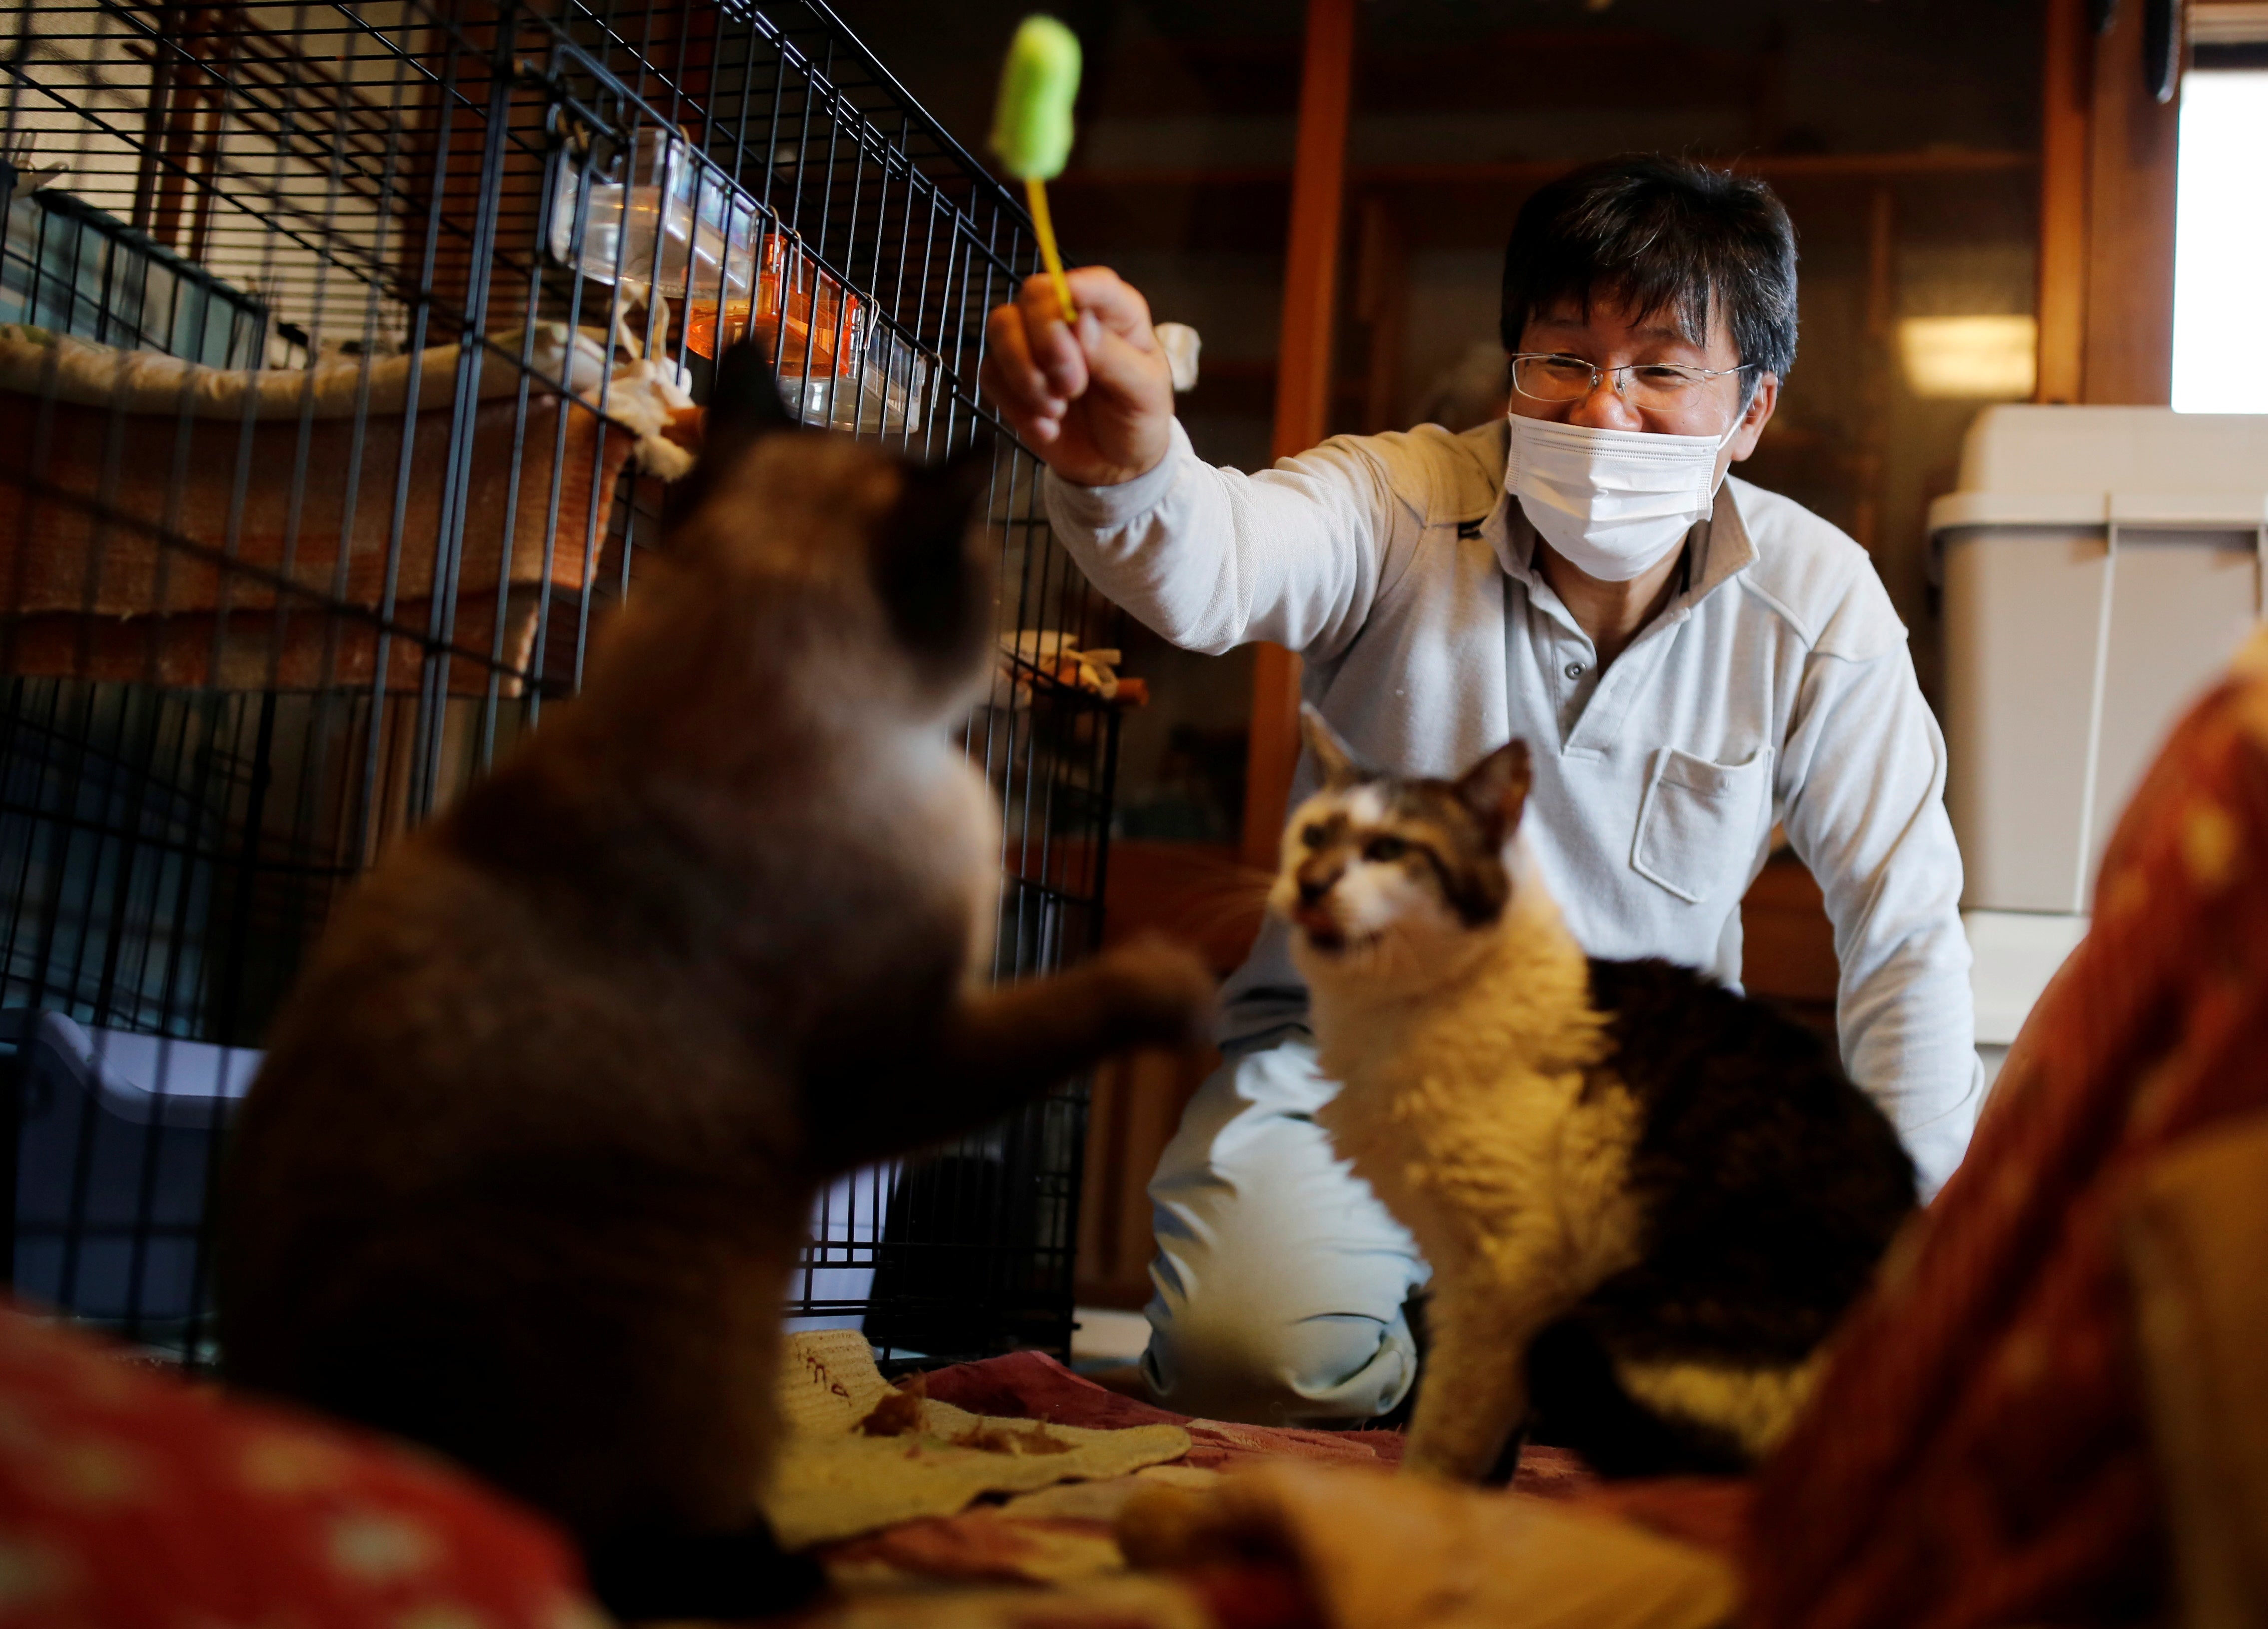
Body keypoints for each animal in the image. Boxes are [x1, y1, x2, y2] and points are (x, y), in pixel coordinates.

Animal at [219, 344, 1215, 1624]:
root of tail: (338, 1442)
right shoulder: (902, 1070)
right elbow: (1066, 1008)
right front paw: (1177, 984)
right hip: (705, 1342)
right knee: (644, 1559)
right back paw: (790, 1564)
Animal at [1279, 707, 1914, 1488]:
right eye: (1313, 836)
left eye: (1389, 849)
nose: (1309, 882)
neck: (1388, 1015)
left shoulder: (1506, 1275)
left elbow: (1447, 1429)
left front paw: (1421, 1502)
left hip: (1607, 1330)